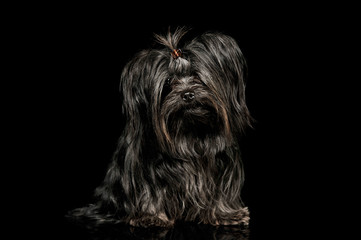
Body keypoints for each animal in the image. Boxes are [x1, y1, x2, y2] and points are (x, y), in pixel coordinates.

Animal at [69, 27, 252, 228]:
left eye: (197, 76)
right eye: (169, 82)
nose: (188, 94)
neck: (190, 132)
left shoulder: (222, 164)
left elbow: (221, 191)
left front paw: (226, 214)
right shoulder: (145, 168)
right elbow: (149, 190)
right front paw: (150, 216)